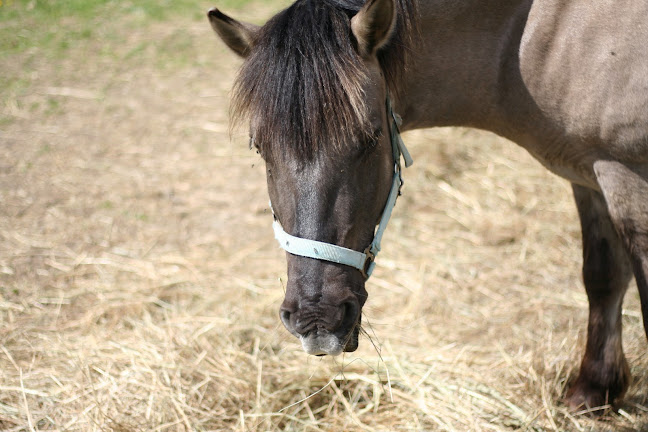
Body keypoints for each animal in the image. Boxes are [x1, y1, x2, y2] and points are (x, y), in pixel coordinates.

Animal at [209, 0, 648, 412]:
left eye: (370, 139)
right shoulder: (589, 176)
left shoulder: (627, 177)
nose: (317, 318)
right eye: (260, 148)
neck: (534, 35)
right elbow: (603, 276)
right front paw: (593, 390)